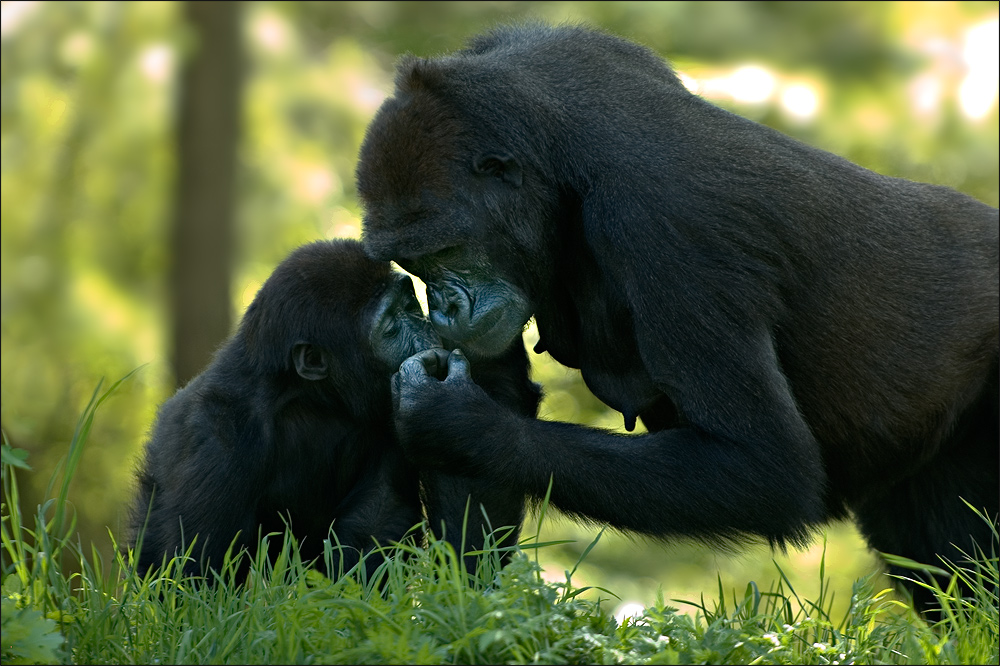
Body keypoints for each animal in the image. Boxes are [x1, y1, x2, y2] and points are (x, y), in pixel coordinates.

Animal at [127, 237, 540, 576]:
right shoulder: (218, 435)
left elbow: (375, 520)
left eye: (410, 306)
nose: (425, 330)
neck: (310, 399)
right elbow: (196, 565)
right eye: (391, 326)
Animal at [356, 24, 996, 608]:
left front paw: (453, 420)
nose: (445, 307)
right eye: (412, 261)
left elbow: (761, 466)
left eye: (447, 250)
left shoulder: (668, 229)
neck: (558, 159)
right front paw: (461, 603)